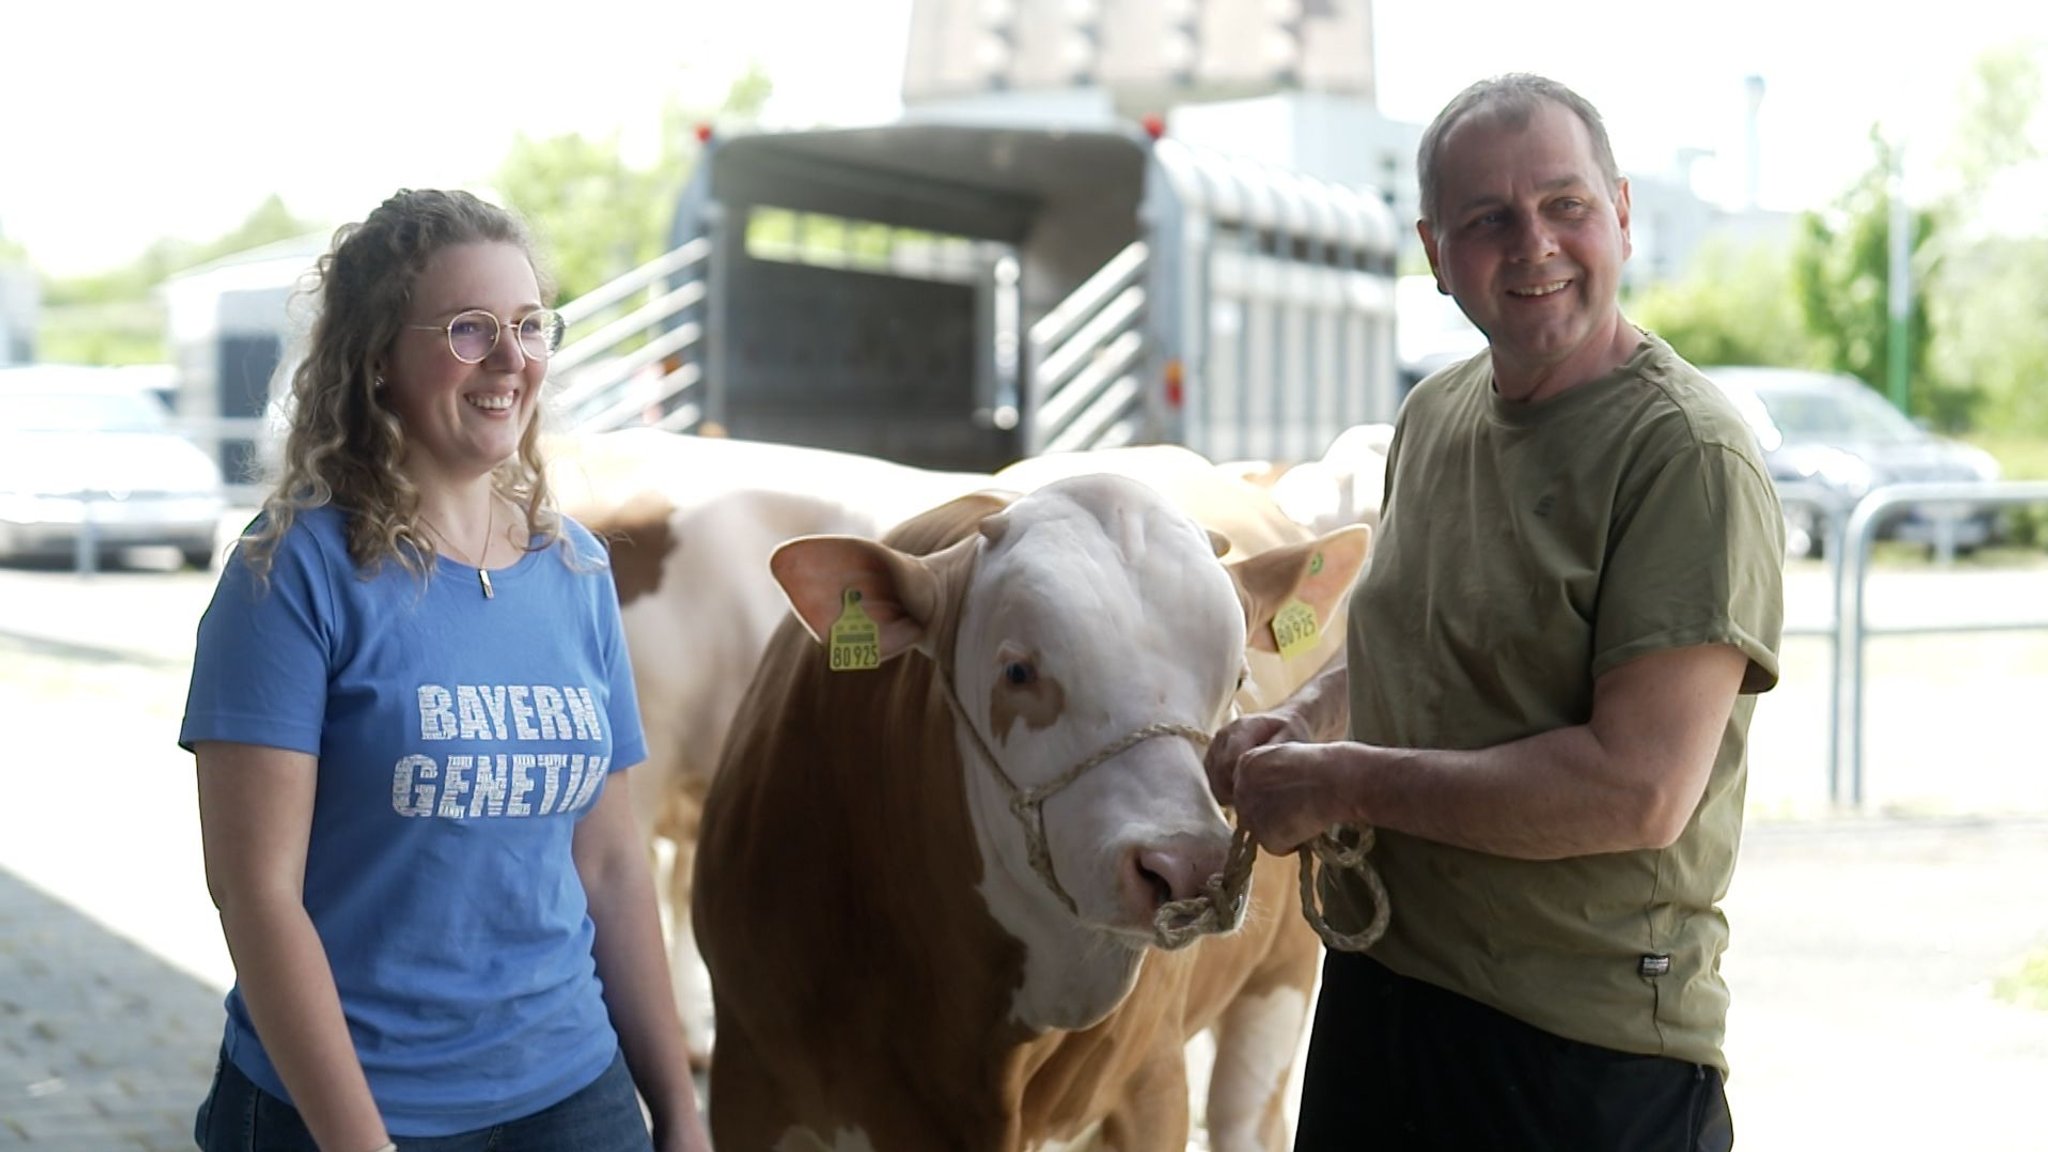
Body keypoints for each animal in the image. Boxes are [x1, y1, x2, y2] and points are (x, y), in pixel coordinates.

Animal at [696, 471, 1368, 1139]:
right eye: (1018, 672)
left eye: (1237, 679)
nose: (1187, 868)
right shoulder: (746, 1085)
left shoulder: (1153, 1086)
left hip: (1277, 988)